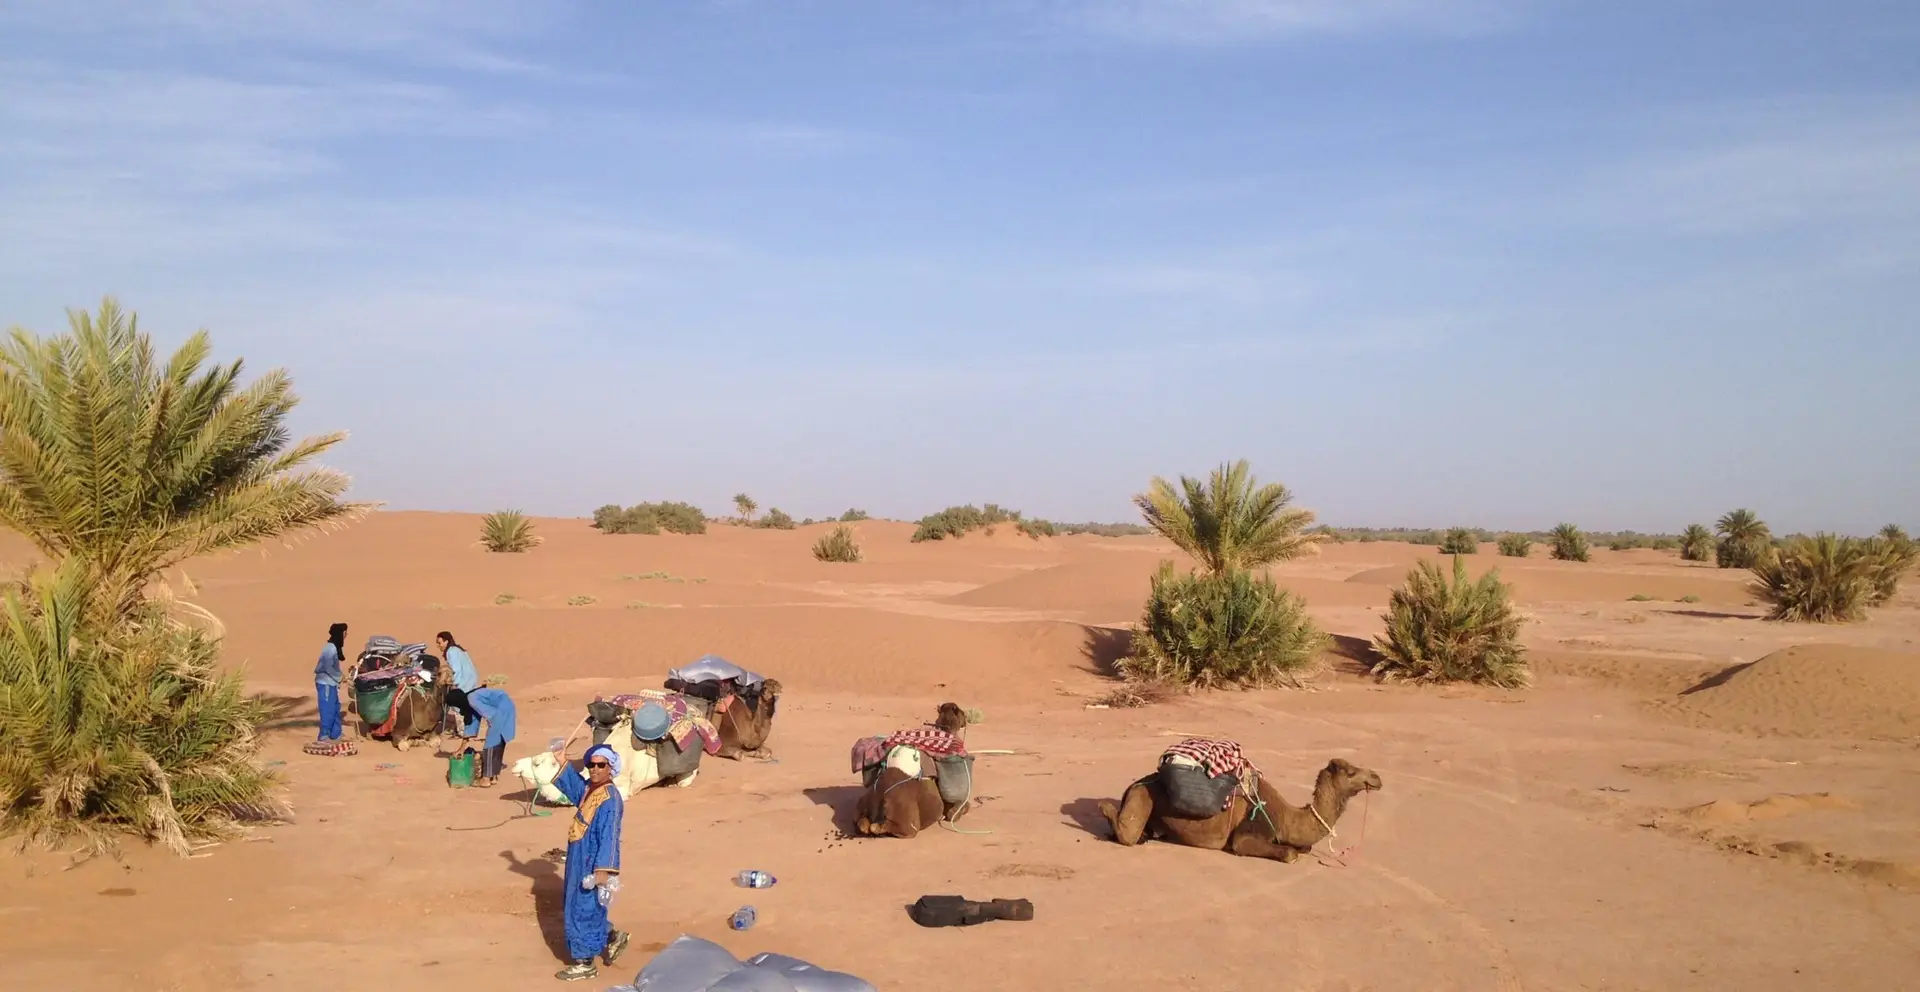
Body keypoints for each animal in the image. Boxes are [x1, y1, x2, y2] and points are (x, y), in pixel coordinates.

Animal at [1098, 759, 1382, 859]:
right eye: (1350, 771)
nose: (1377, 777)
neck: (1286, 817)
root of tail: (1132, 785)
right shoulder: (1247, 834)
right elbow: (1290, 853)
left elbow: (1304, 847)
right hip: (1142, 795)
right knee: (1127, 833)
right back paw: (1106, 808)